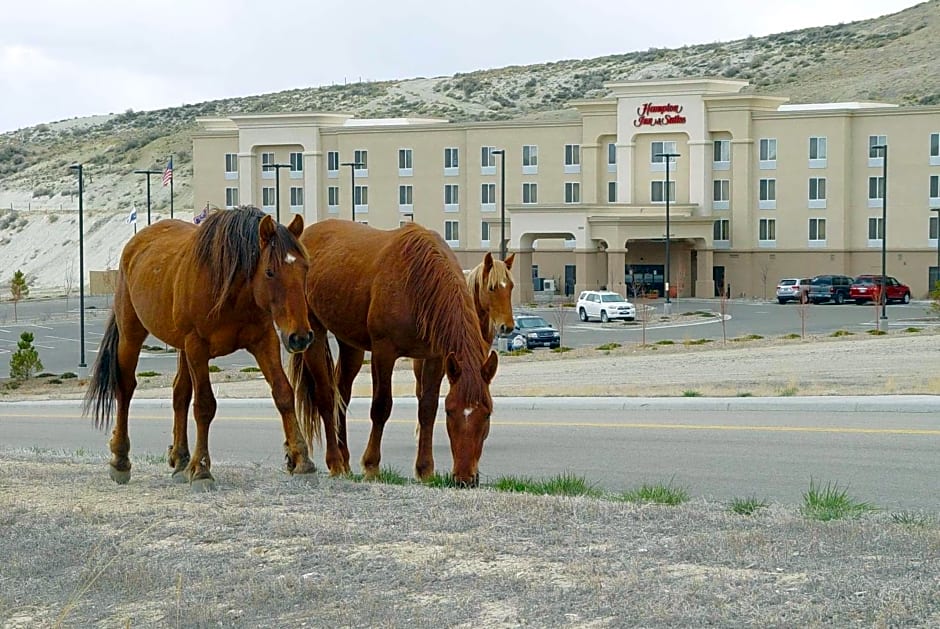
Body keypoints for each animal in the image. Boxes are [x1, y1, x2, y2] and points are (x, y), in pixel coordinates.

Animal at [82, 207, 316, 490]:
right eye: (270, 272)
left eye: (305, 269)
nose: (300, 337)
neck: (232, 289)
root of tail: (135, 244)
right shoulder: (197, 346)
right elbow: (204, 405)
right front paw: (202, 469)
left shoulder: (264, 340)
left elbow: (283, 393)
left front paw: (301, 459)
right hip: (132, 335)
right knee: (126, 388)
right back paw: (120, 459)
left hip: (181, 347)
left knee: (179, 393)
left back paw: (181, 459)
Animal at [290, 221, 500, 486]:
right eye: (450, 411)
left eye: (487, 413)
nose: (464, 478)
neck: (417, 283)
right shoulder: (384, 351)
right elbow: (381, 407)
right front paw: (371, 465)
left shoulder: (435, 357)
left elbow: (427, 409)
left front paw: (425, 469)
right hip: (314, 333)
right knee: (326, 396)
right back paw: (335, 461)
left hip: (351, 344)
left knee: (342, 394)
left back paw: (345, 460)